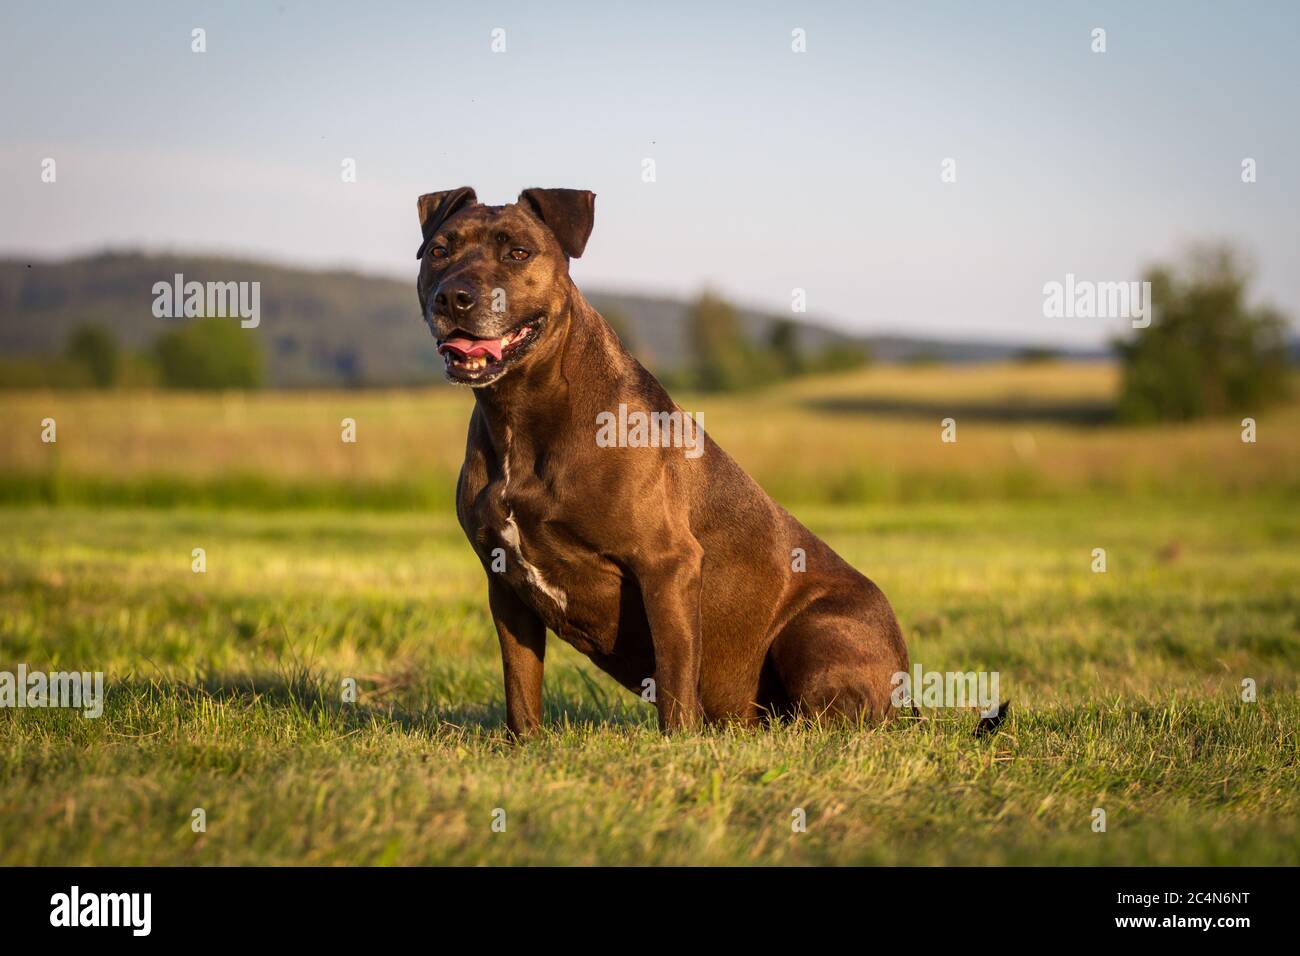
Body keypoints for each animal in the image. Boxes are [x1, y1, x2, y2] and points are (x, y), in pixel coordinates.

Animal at [413, 191, 904, 738]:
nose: (453, 297)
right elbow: (520, 684)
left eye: (517, 252)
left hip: (816, 632)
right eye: (439, 251)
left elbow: (674, 674)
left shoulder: (667, 564)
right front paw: (524, 745)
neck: (520, 411)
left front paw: (678, 742)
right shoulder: (505, 585)